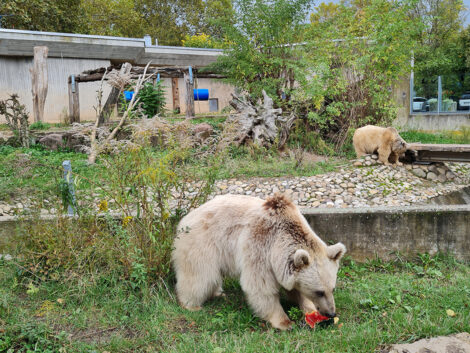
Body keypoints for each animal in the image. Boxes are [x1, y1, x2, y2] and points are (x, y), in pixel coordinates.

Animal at [172, 192, 346, 330]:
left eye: (332, 288)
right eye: (319, 292)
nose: (331, 312)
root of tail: (186, 218)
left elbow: (294, 288)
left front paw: (309, 309)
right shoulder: (260, 246)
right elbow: (260, 285)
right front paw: (285, 322)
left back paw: (218, 293)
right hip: (202, 243)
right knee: (200, 275)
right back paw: (191, 304)